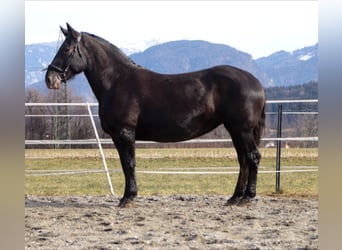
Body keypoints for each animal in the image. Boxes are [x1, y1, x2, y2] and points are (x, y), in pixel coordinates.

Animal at [45, 23, 266, 207]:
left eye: (66, 49)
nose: (50, 78)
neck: (117, 82)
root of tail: (255, 82)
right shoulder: (118, 136)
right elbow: (125, 164)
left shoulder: (125, 133)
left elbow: (129, 164)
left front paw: (128, 198)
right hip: (235, 130)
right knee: (243, 159)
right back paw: (235, 198)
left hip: (242, 130)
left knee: (252, 157)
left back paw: (247, 198)